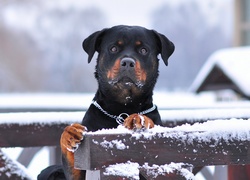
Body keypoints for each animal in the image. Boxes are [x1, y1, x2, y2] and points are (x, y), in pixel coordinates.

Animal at [38, 25, 174, 180]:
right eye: (113, 48)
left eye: (144, 50)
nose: (128, 62)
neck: (121, 108)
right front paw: (70, 133)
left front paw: (139, 119)